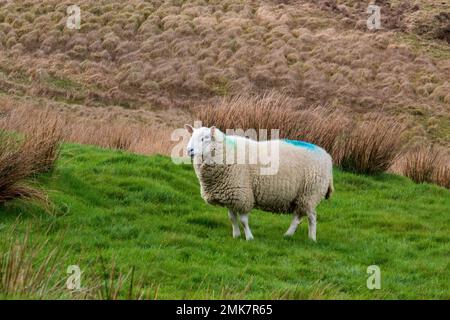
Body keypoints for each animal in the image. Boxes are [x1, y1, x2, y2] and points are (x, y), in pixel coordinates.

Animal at [184, 124, 334, 241]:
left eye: (204, 138)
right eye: (191, 137)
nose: (189, 150)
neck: (226, 151)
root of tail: (327, 156)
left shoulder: (242, 193)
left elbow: (243, 220)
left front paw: (249, 237)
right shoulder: (230, 194)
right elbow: (232, 218)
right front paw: (236, 235)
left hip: (311, 193)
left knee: (312, 217)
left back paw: (311, 238)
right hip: (302, 196)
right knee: (298, 217)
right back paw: (288, 235)